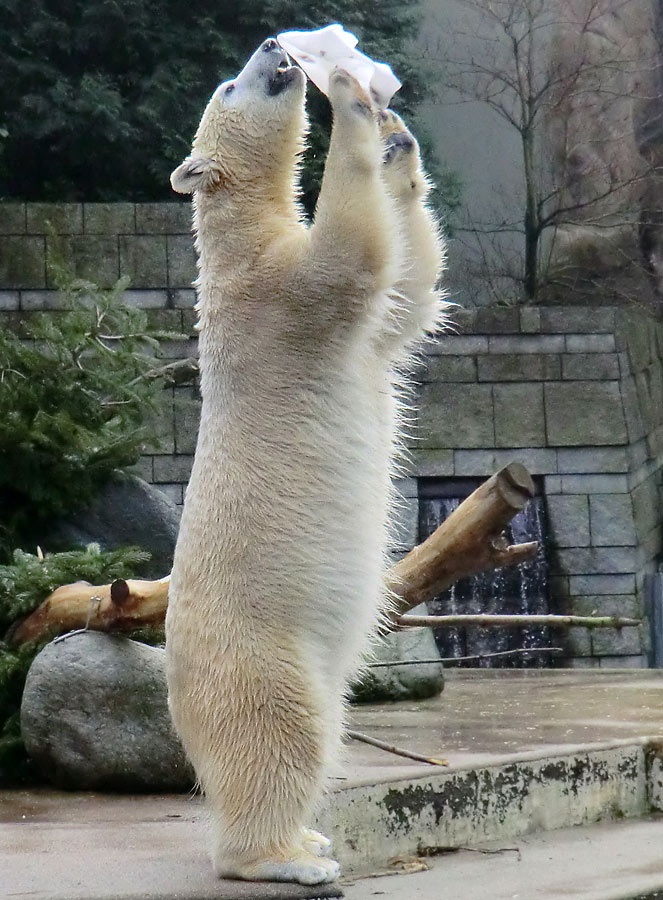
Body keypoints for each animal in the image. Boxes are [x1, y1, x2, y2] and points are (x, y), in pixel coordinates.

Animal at [165, 37, 446, 884]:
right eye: (230, 84)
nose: (271, 46)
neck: (237, 237)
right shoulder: (277, 294)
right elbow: (351, 256)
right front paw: (351, 101)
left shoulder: (333, 314)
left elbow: (408, 294)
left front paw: (396, 141)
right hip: (258, 657)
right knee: (280, 737)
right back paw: (288, 859)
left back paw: (310, 839)